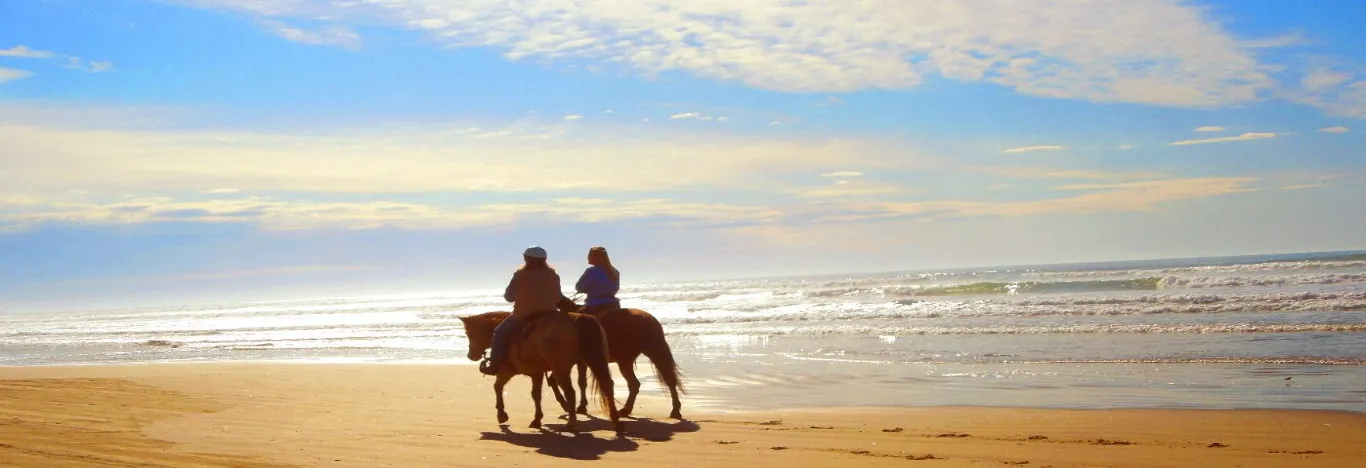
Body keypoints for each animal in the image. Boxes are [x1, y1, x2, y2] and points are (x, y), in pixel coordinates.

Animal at [461, 311, 625, 436]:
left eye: (468, 333)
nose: (470, 355)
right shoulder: (537, 373)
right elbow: (536, 394)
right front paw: (537, 419)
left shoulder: (507, 371)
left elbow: (497, 387)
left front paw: (502, 415)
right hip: (594, 361)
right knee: (607, 386)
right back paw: (616, 423)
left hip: (562, 368)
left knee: (570, 392)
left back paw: (571, 423)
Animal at [549, 300, 688, 422]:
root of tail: (651, 320)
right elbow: (554, 380)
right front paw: (569, 404)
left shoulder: (580, 362)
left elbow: (580, 382)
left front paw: (579, 406)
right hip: (635, 358)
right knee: (646, 383)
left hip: (641, 356)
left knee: (654, 382)